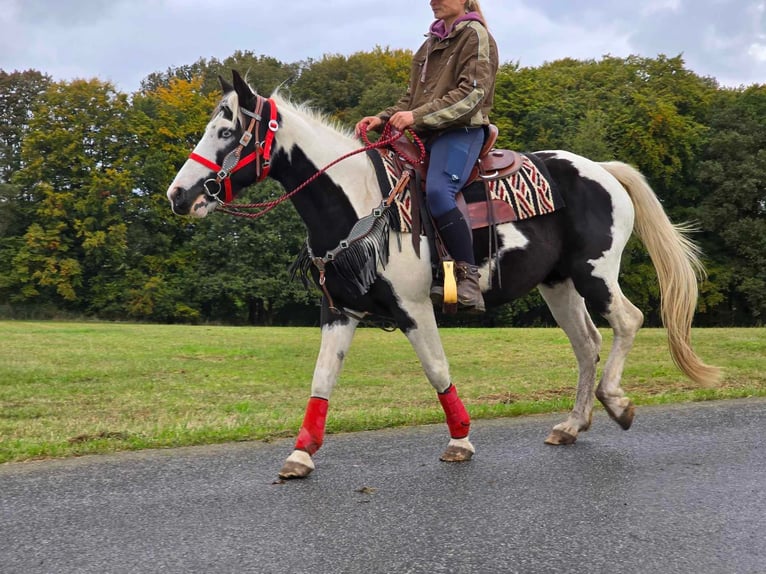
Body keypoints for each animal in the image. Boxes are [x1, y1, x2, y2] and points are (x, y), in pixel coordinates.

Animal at [165, 71, 724, 482]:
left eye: (226, 131)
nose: (178, 195)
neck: (360, 203)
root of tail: (604, 169)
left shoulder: (414, 309)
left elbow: (436, 370)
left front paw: (460, 438)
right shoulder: (339, 310)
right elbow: (322, 378)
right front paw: (301, 454)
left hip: (596, 273)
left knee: (628, 321)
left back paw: (617, 403)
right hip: (558, 284)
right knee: (587, 342)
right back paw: (571, 424)